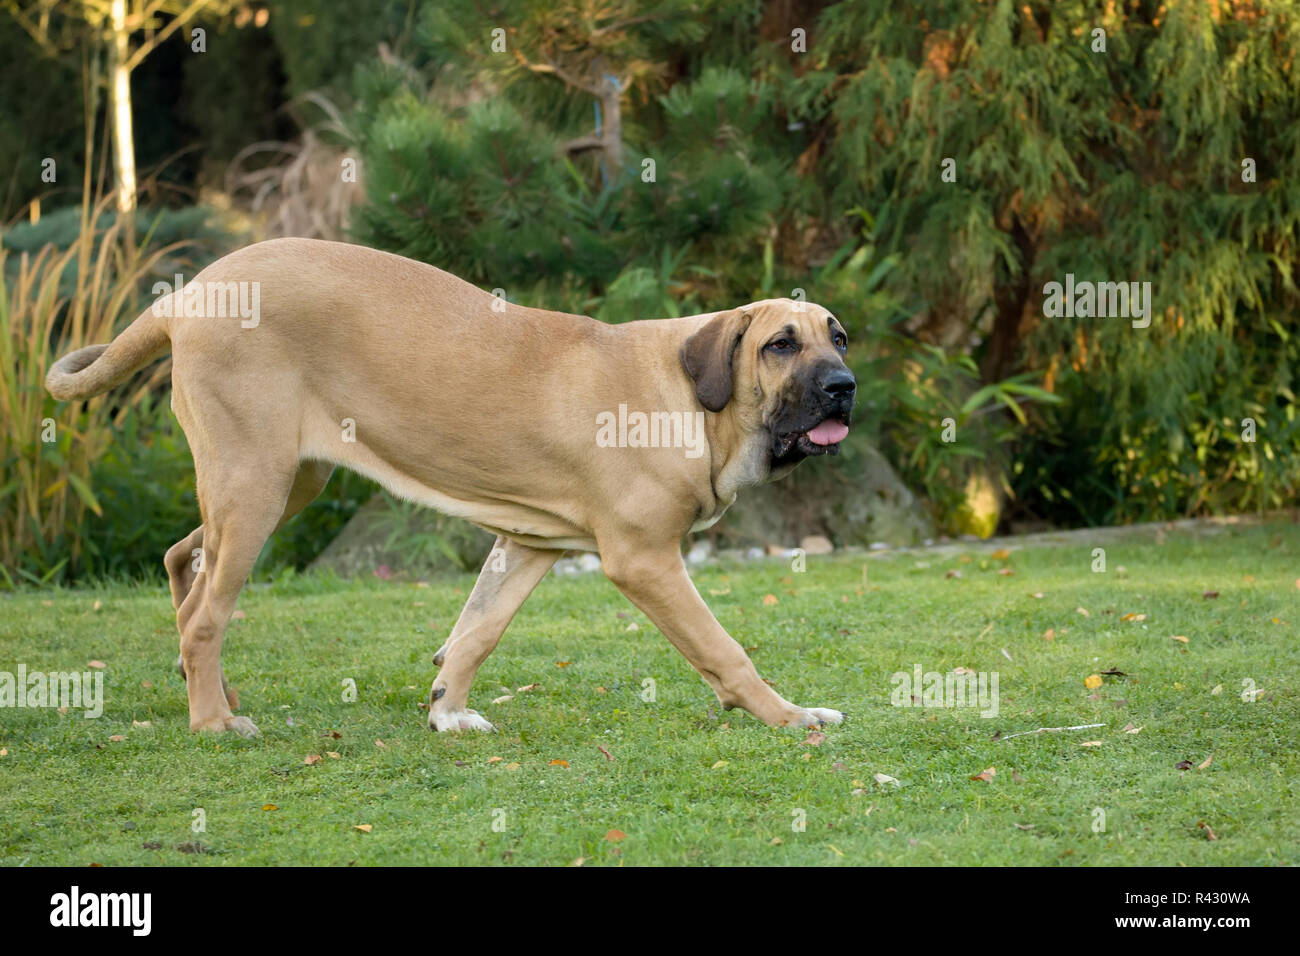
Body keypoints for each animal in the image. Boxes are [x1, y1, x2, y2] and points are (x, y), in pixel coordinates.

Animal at [45, 240, 857, 738]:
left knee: (185, 562)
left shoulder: (528, 543)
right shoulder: (645, 560)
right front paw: (786, 715)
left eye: (838, 337)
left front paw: (447, 710)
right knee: (206, 616)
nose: (844, 387)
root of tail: (187, 296)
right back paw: (214, 720)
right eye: (780, 344)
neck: (691, 398)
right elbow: (724, 648)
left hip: (283, 479)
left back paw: (209, 689)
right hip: (256, 486)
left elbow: (477, 631)